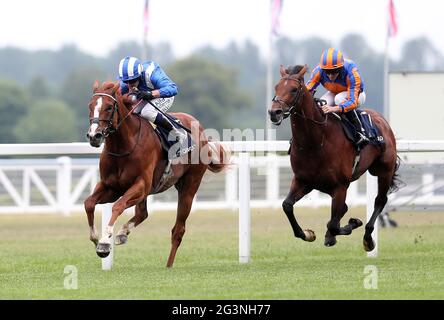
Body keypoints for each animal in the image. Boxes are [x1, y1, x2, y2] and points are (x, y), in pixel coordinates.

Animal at [85, 80, 229, 268]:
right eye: (90, 106)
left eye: (109, 107)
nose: (94, 136)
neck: (124, 146)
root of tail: (201, 129)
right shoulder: (111, 187)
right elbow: (89, 203)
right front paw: (97, 239)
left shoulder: (141, 185)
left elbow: (118, 206)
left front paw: (104, 241)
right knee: (143, 213)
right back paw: (123, 233)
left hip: (189, 186)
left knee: (178, 230)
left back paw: (168, 265)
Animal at [268, 64, 402, 250]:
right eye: (276, 87)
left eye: (294, 89)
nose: (274, 112)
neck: (316, 141)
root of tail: (382, 121)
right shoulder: (303, 180)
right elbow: (287, 205)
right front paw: (307, 234)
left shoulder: (340, 186)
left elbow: (333, 224)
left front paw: (352, 223)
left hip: (384, 171)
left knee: (380, 201)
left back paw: (368, 238)